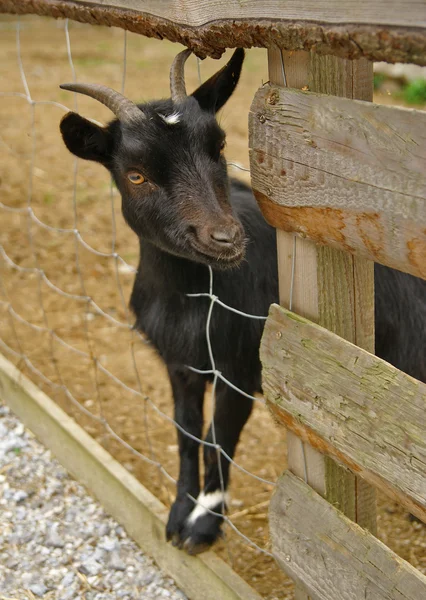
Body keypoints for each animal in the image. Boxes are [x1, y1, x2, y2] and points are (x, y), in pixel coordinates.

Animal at [60, 49, 426, 556]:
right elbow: (186, 432)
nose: (224, 238)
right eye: (135, 175)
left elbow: (220, 436)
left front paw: (203, 524)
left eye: (218, 147)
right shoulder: (180, 363)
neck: (193, 299)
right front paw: (178, 512)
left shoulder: (239, 364)